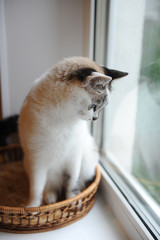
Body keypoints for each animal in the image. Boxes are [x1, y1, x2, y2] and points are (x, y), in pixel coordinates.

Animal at [18, 55, 127, 206]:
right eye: (93, 106)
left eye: (101, 108)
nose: (95, 118)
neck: (63, 119)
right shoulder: (37, 161)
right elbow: (36, 189)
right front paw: (32, 207)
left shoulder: (74, 157)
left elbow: (72, 182)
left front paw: (72, 200)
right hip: (29, 163)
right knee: (48, 186)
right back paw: (50, 197)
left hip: (87, 161)